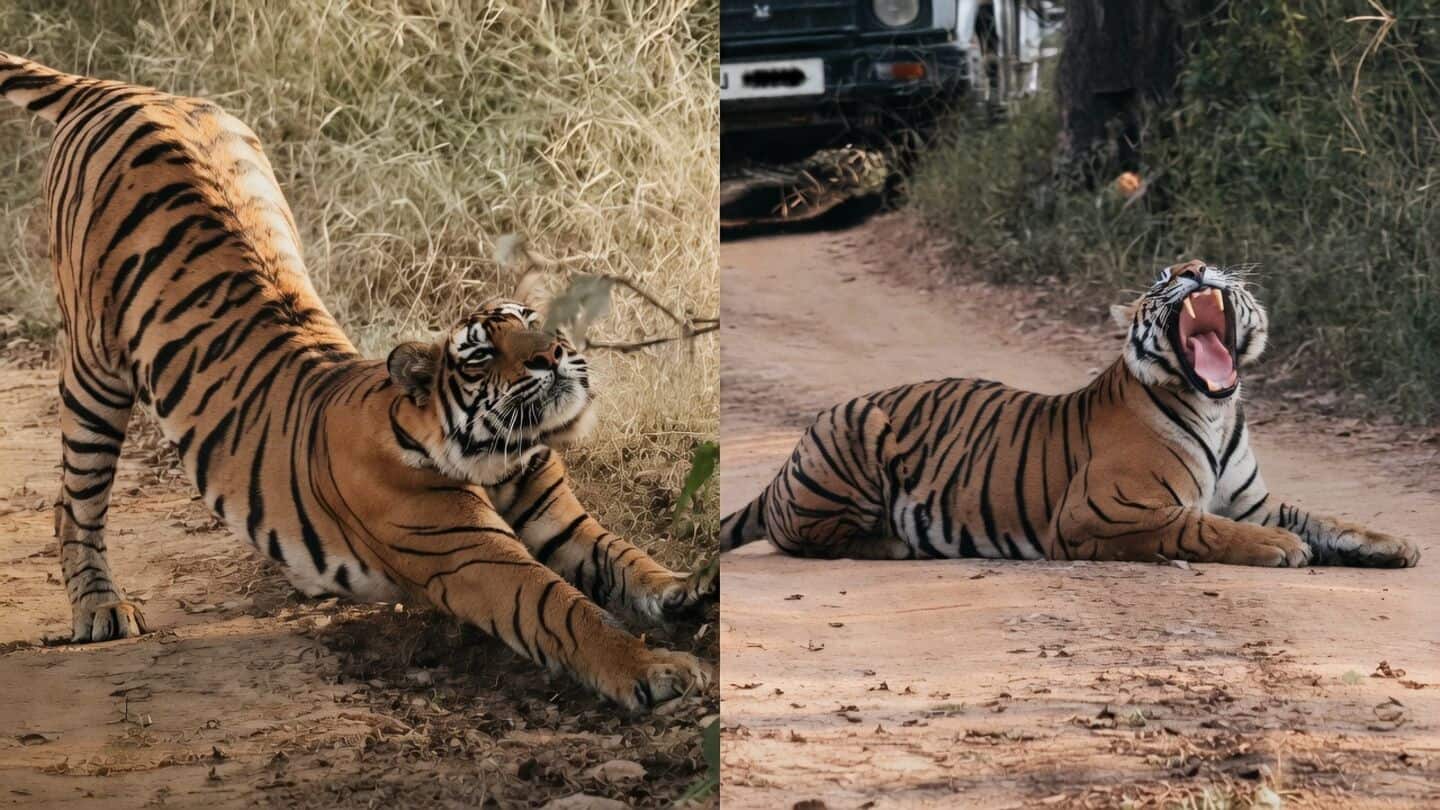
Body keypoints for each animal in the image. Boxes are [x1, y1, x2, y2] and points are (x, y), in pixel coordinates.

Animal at [0, 52, 715, 711]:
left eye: (533, 322)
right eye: (483, 354)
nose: (556, 354)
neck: (498, 454)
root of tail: (122, 89)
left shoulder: (560, 519)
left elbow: (625, 558)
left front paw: (689, 587)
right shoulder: (475, 556)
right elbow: (565, 609)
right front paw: (657, 669)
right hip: (93, 367)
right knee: (75, 500)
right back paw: (100, 610)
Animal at [721, 259, 1420, 570]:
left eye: (1210, 263)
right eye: (1164, 277)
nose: (1194, 267)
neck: (1214, 407)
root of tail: (783, 466)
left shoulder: (1253, 499)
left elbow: (1325, 518)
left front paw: (1395, 543)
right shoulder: (1104, 512)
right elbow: (1201, 527)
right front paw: (1281, 548)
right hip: (854, 437)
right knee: (802, 537)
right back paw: (894, 543)